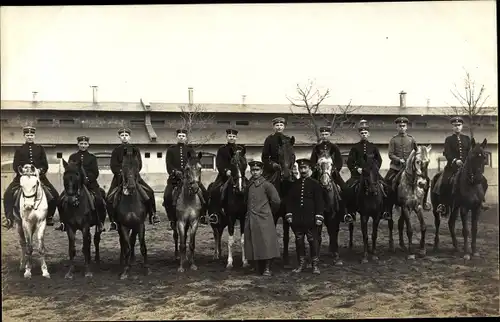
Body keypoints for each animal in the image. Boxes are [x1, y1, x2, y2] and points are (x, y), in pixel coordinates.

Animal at [114, 147, 149, 278]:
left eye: (136, 166)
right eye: (123, 166)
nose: (131, 187)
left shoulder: (140, 224)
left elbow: (142, 246)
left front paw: (146, 268)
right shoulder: (123, 226)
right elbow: (127, 247)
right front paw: (125, 270)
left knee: (132, 240)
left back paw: (132, 260)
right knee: (123, 243)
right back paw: (123, 261)